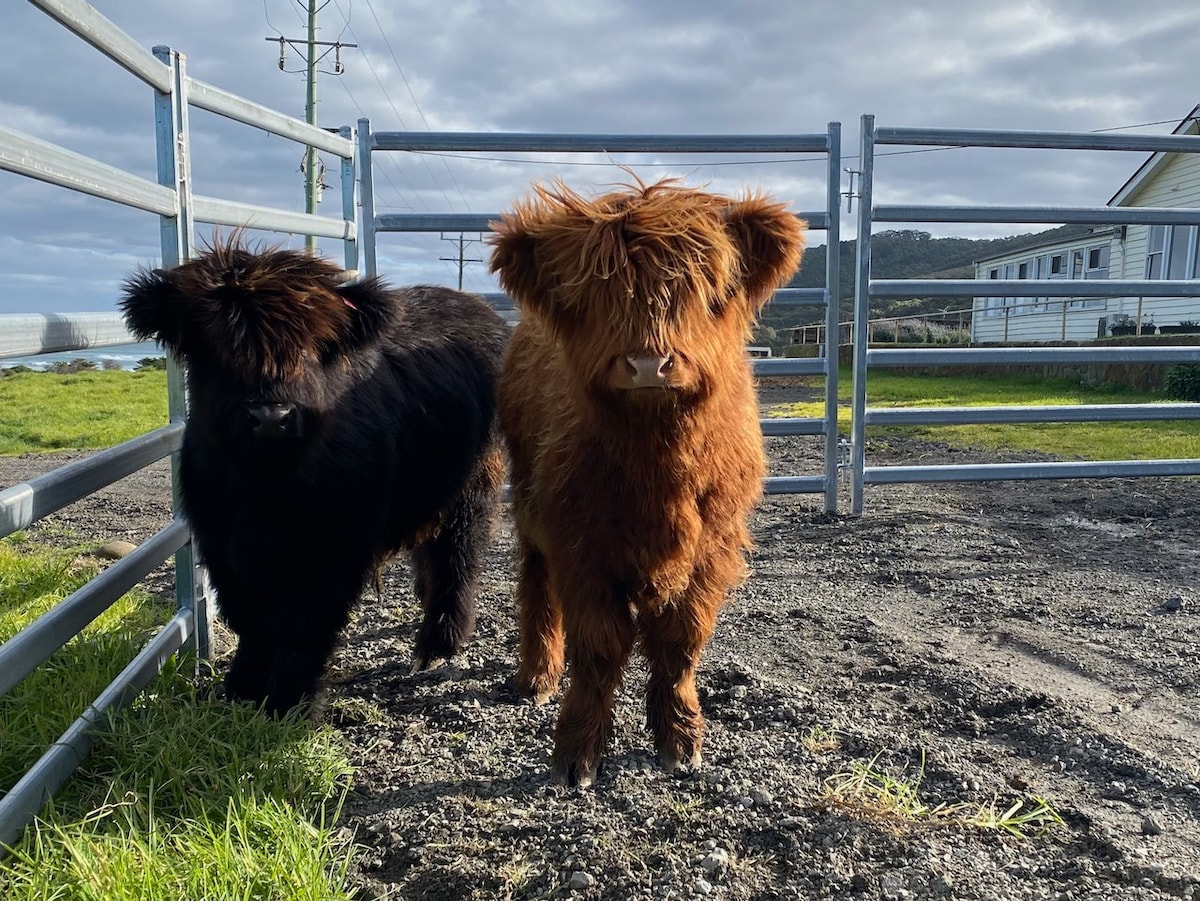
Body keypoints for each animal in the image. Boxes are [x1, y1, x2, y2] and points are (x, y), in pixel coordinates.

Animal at [124, 243, 508, 715]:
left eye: (311, 348)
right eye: (214, 348)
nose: (271, 417)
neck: (265, 490)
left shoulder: (334, 547)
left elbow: (302, 623)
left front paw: (289, 701)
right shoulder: (220, 541)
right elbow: (251, 620)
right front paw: (241, 689)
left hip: (472, 487)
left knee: (458, 557)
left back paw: (438, 644)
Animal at [487, 177, 806, 787]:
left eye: (702, 289)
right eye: (599, 290)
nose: (646, 365)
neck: (657, 469)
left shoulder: (714, 543)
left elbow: (680, 641)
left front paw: (680, 739)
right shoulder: (580, 541)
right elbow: (598, 647)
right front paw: (577, 753)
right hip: (531, 499)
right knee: (535, 577)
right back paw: (537, 674)